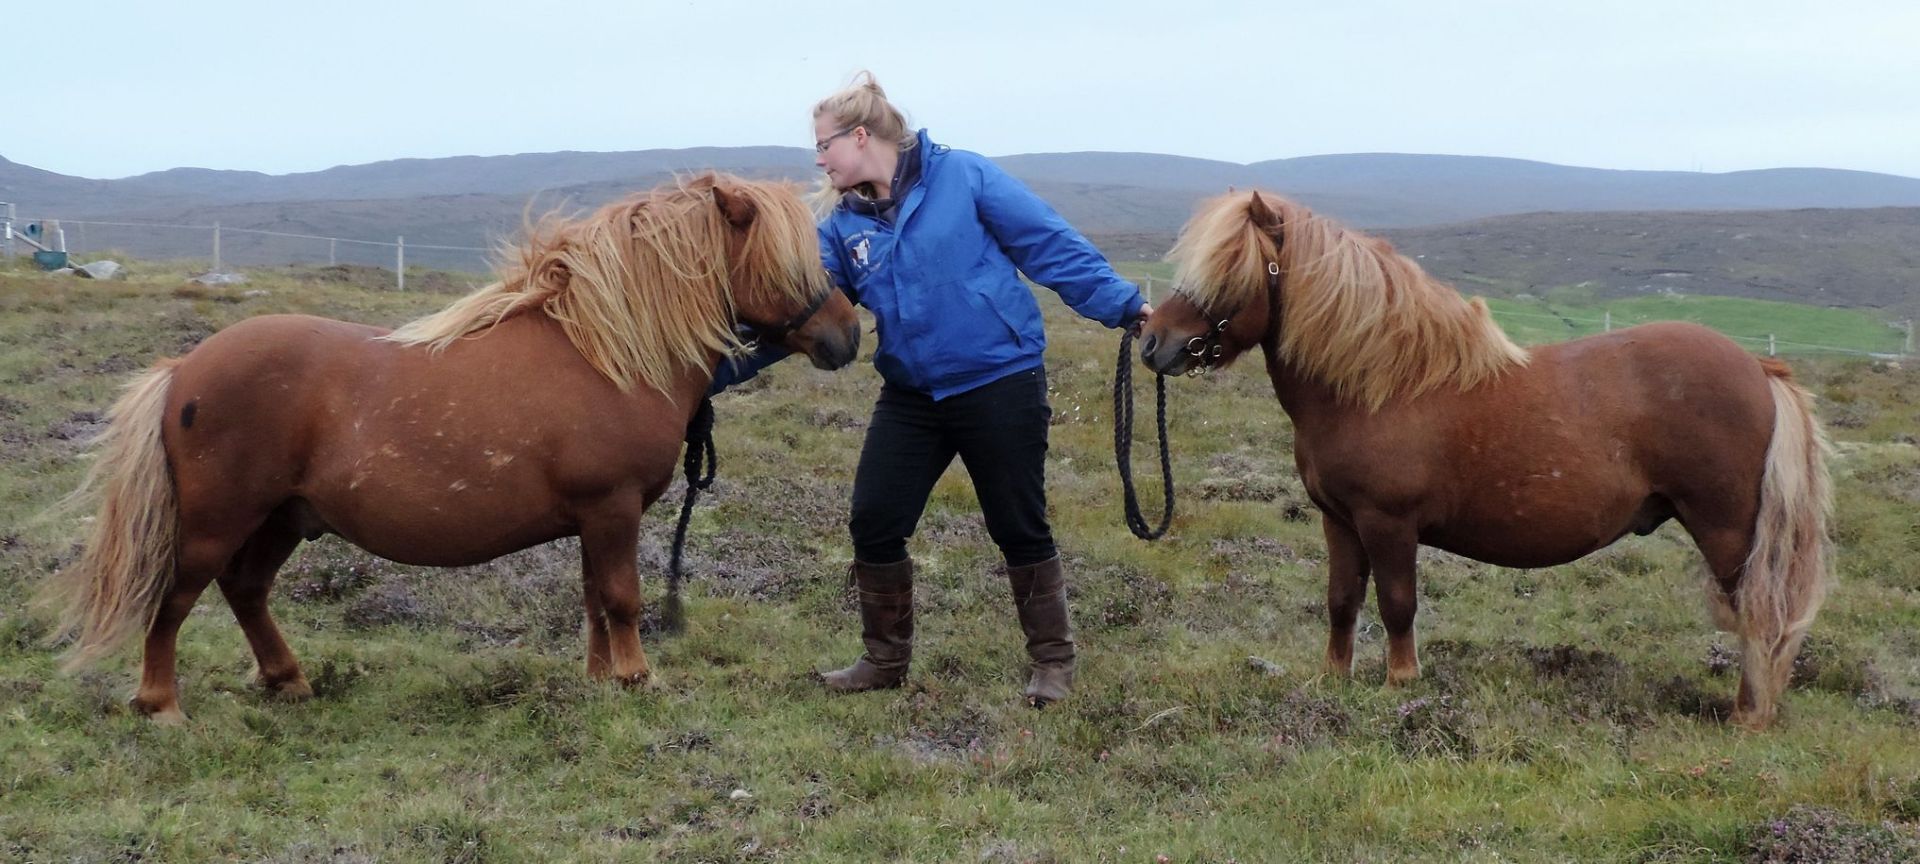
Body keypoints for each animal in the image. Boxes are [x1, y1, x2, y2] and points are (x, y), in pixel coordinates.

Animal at [39, 171, 864, 725]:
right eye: (788, 261)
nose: (847, 336)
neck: (605, 351)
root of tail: (184, 369)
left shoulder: (595, 519)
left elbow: (594, 599)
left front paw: (601, 678)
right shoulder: (613, 508)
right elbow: (622, 598)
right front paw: (636, 679)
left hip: (285, 518)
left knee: (245, 590)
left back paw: (288, 679)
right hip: (219, 521)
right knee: (177, 597)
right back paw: (161, 703)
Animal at [1136, 189, 1827, 729]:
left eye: (1231, 271)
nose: (1152, 342)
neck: (1380, 385)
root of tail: (1756, 367)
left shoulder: (1388, 523)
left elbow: (1397, 603)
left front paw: (1401, 683)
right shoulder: (1339, 521)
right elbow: (1342, 600)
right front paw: (1334, 680)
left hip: (1727, 530)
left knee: (1758, 614)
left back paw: (1746, 715)